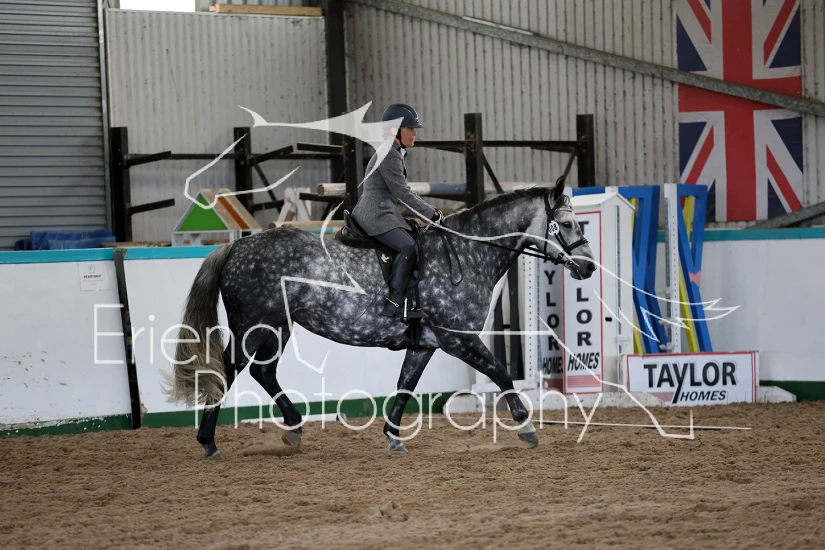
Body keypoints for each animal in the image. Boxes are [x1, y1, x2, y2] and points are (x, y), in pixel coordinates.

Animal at [166, 177, 596, 458]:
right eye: (568, 224)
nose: (589, 267)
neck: (466, 253)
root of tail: (236, 248)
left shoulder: (425, 344)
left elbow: (405, 386)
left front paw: (393, 435)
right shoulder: (459, 338)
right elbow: (501, 374)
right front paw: (526, 426)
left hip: (278, 327)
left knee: (262, 372)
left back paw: (294, 428)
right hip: (254, 327)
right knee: (228, 372)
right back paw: (210, 442)